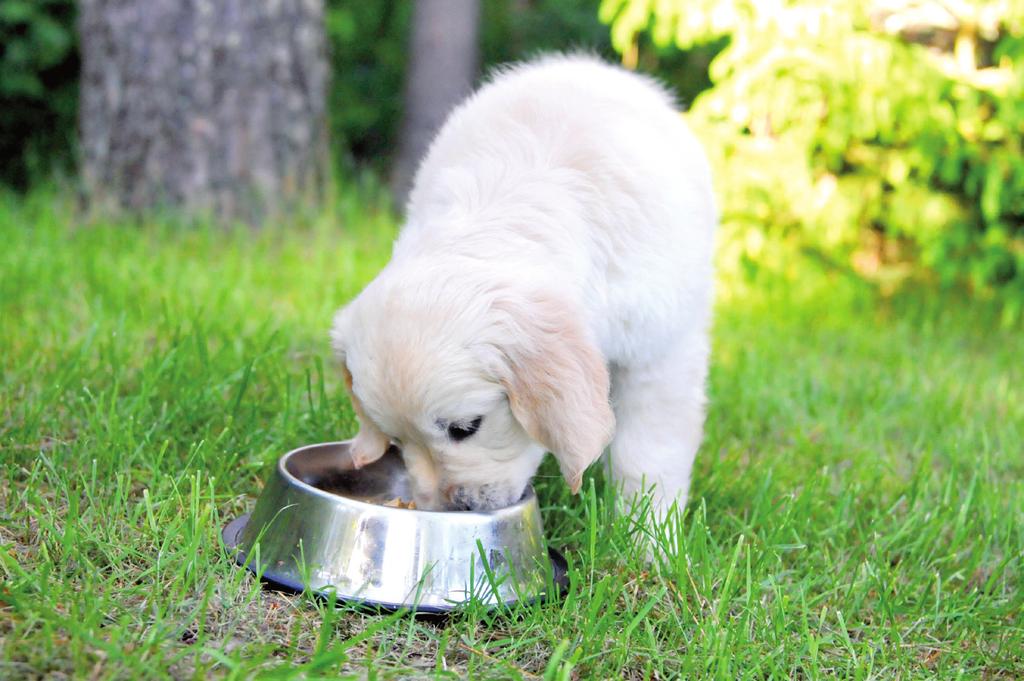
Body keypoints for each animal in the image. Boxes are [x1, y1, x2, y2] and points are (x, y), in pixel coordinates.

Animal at [331, 55, 716, 518]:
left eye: (466, 428)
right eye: (397, 439)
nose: (455, 507)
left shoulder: (658, 352)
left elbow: (647, 456)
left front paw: (650, 531)